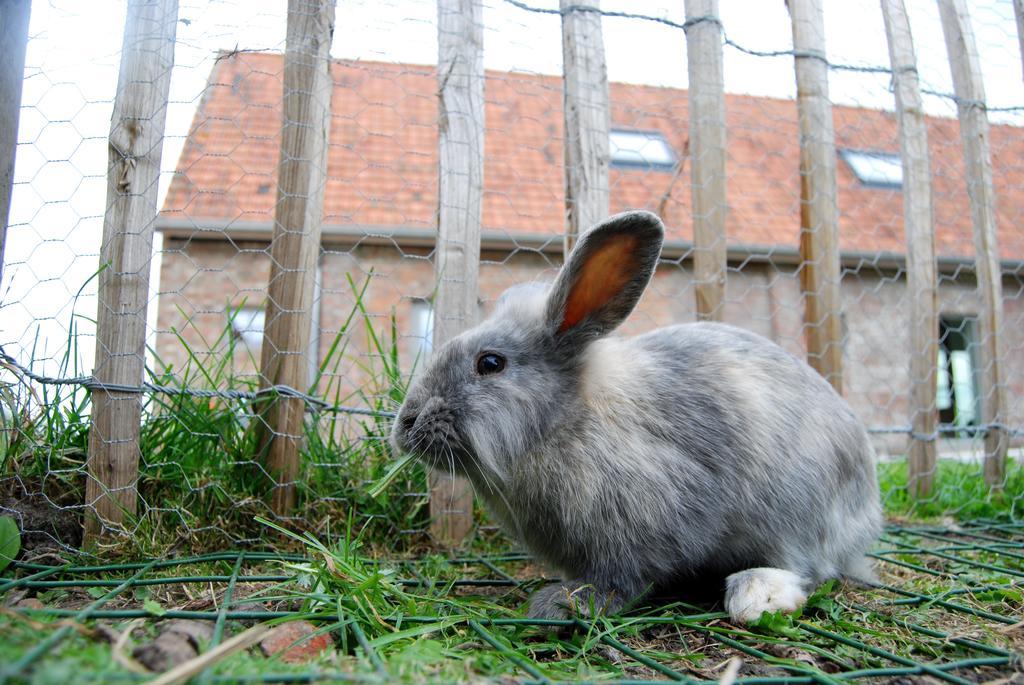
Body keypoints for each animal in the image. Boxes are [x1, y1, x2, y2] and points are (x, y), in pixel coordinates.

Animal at [391, 210, 880, 622]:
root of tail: (867, 506)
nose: (405, 425)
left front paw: (565, 603)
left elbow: (625, 576)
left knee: (806, 566)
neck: (566, 421)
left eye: (490, 363)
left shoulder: (647, 520)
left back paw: (756, 595)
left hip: (795, 511)